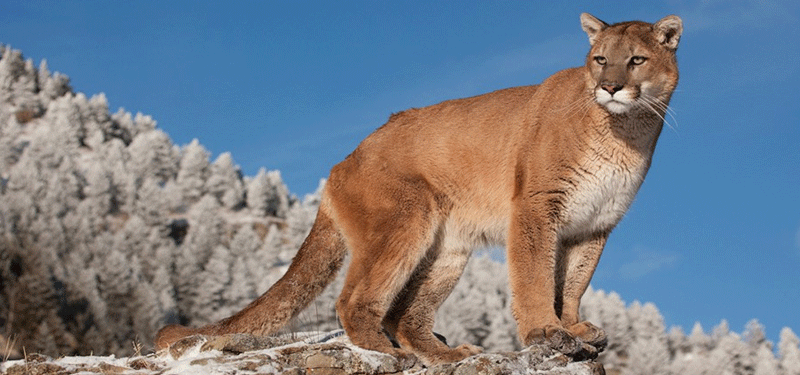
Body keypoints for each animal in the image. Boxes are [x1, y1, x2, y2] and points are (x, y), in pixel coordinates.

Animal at [155, 13, 680, 366]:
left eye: (636, 60)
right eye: (600, 60)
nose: (609, 87)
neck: (624, 131)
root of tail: (343, 161)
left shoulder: (594, 225)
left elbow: (571, 283)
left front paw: (574, 328)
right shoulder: (536, 208)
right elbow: (534, 276)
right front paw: (545, 334)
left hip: (447, 249)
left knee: (406, 316)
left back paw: (446, 355)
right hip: (405, 220)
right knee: (356, 300)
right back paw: (383, 352)